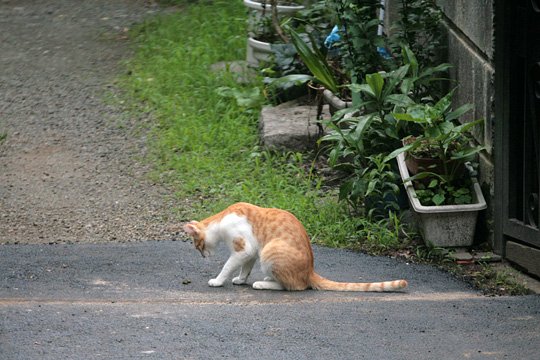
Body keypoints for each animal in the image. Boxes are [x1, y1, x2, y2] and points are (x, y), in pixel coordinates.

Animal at [184, 202, 408, 292]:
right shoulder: (252, 253)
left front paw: (218, 280)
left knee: (295, 286)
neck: (222, 219)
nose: (202, 256)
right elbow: (245, 268)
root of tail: (310, 271)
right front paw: (240, 279)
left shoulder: (243, 249)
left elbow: (227, 266)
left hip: (270, 251)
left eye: (197, 245)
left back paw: (263, 283)